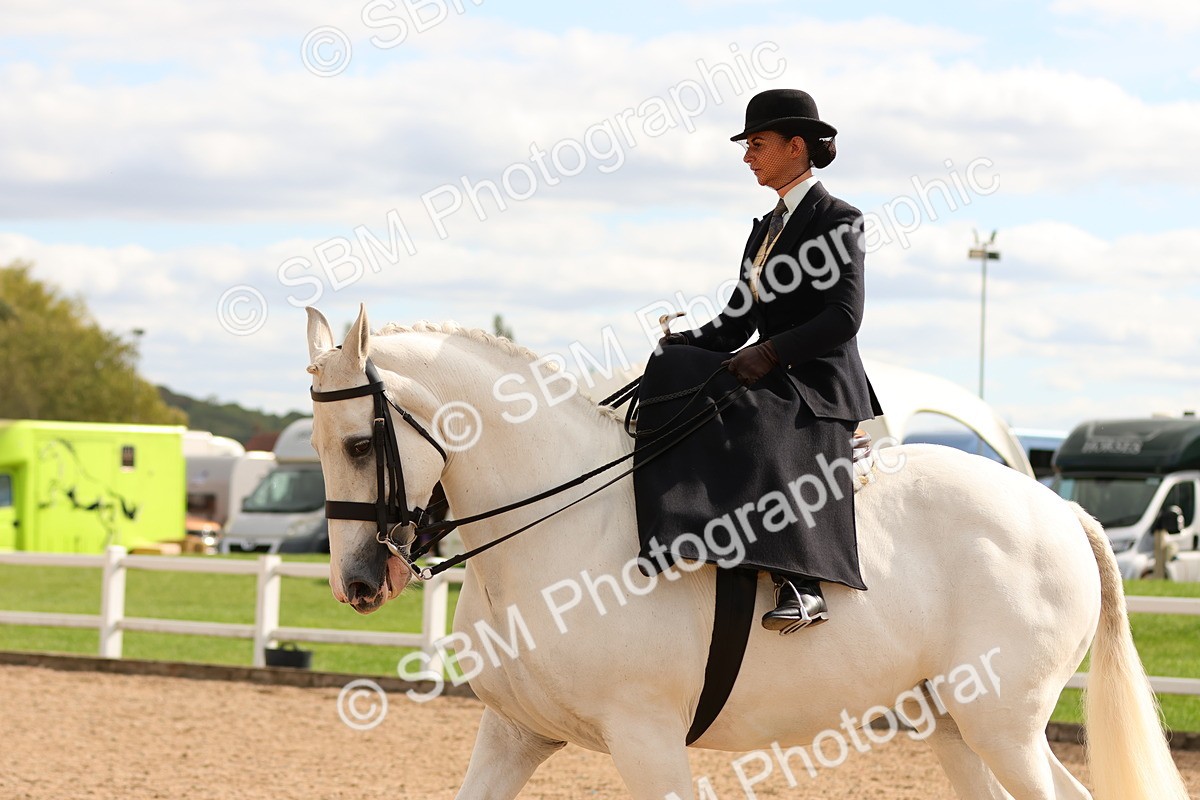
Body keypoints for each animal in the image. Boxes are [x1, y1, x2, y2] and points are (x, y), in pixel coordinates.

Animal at [304, 305, 1188, 800]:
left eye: (359, 444)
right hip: (954, 726)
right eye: (314, 444)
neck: (558, 526)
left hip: (1003, 725)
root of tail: (1060, 512)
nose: (356, 582)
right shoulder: (515, 733)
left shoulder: (647, 739)